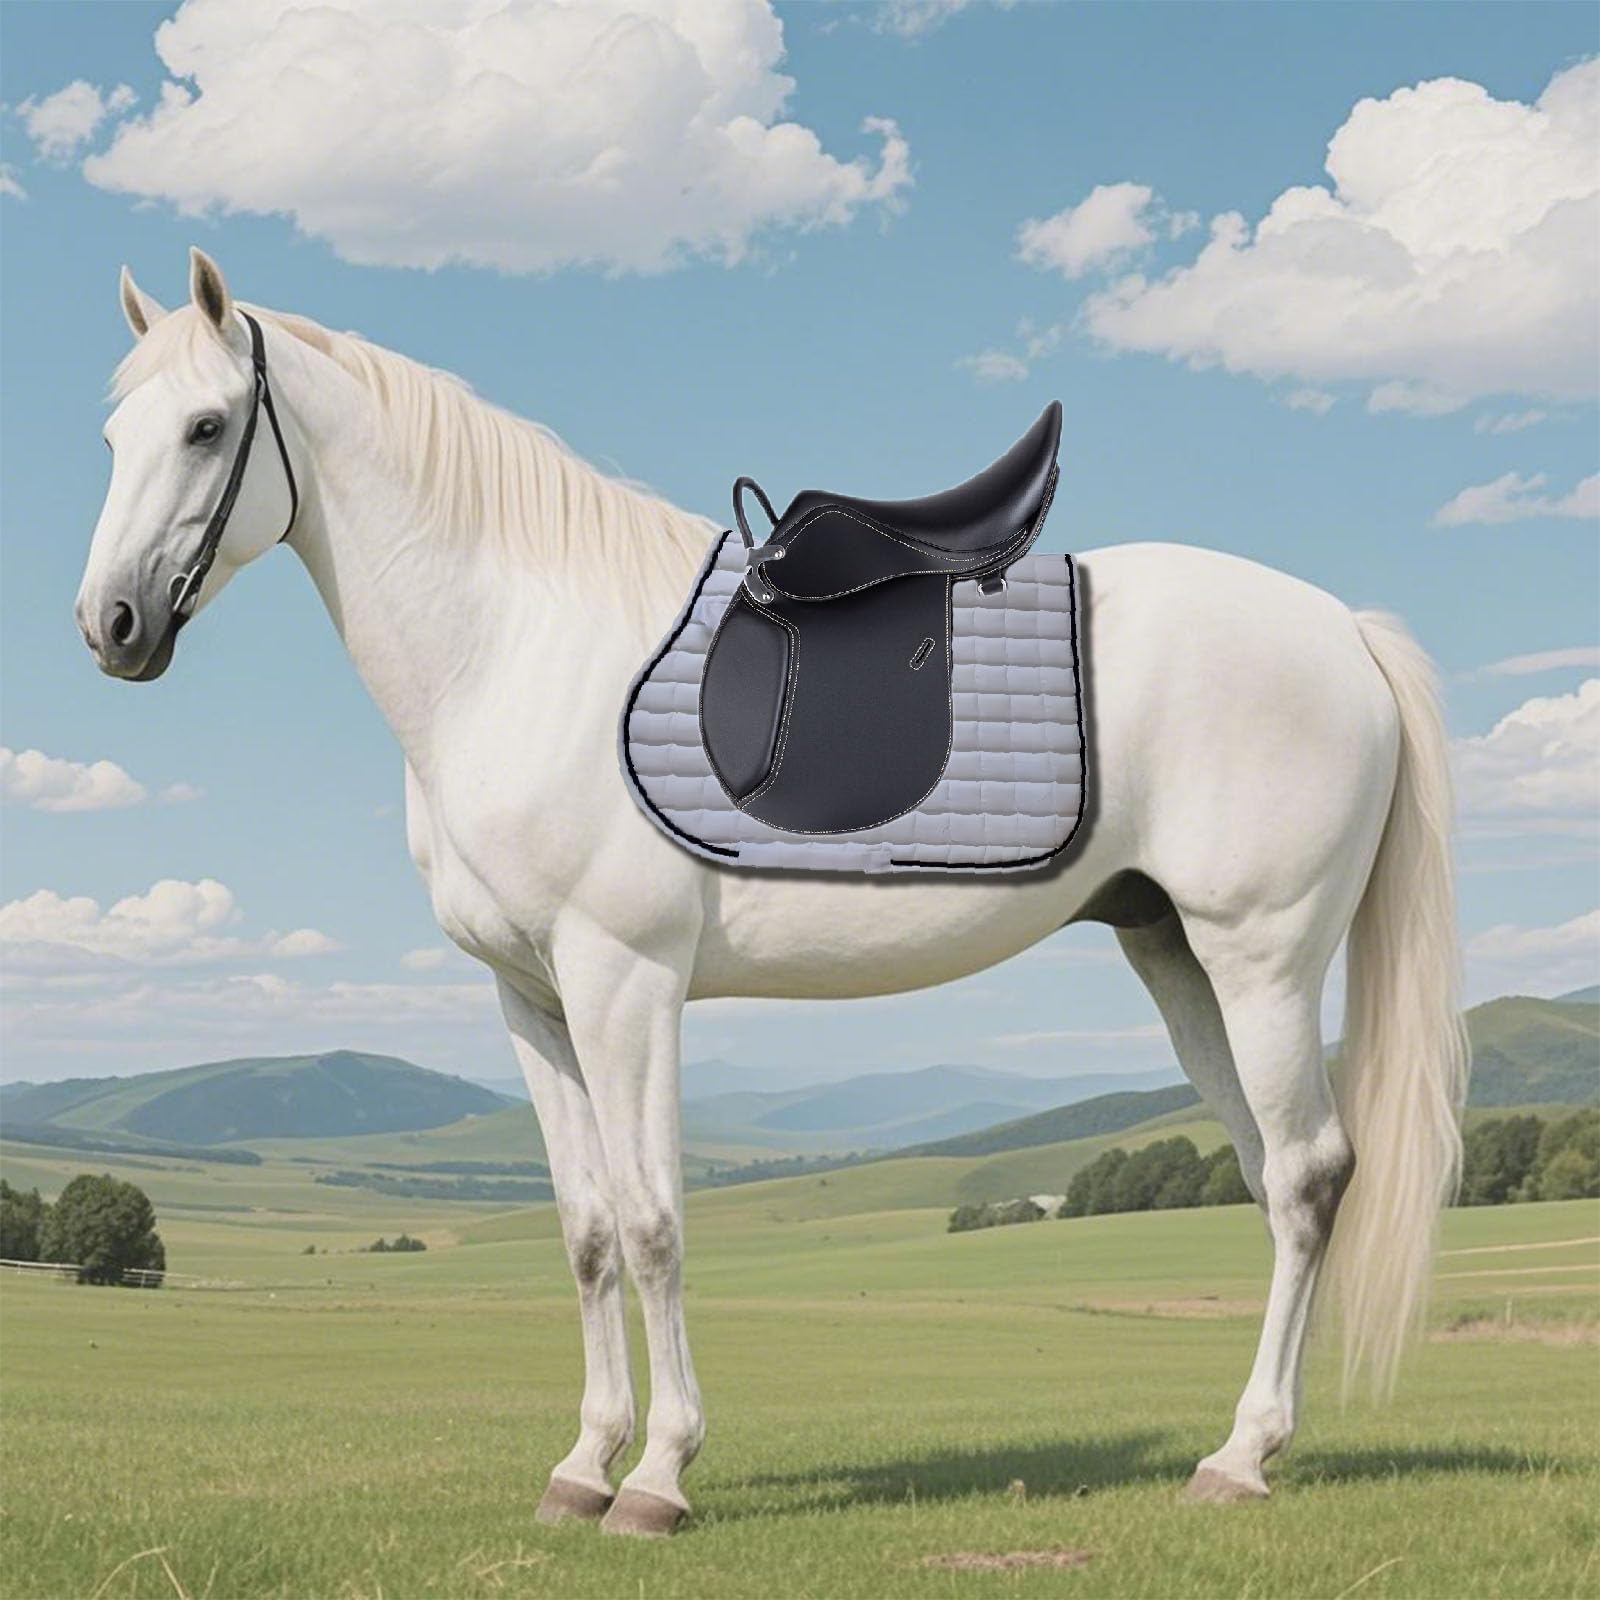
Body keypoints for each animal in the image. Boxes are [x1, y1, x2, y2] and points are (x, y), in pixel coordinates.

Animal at [75, 249, 1468, 1537]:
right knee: (1270, 1173)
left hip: (1260, 956)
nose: (112, 626)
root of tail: (1343, 633)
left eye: (207, 428)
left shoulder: (624, 980)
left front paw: (657, 1477)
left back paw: (1241, 1456)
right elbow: (586, 1232)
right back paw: (1248, 1440)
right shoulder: (531, 999)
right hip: (1173, 952)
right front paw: (583, 1465)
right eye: (113, 433)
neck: (517, 651)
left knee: (1309, 1175)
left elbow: (652, 1225)